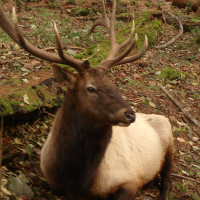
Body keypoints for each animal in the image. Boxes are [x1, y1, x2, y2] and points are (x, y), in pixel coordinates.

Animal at [0, 0, 173, 199]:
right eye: (91, 88)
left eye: (113, 84)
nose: (130, 115)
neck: (77, 178)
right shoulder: (50, 180)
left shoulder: (131, 179)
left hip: (169, 142)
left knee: (167, 181)